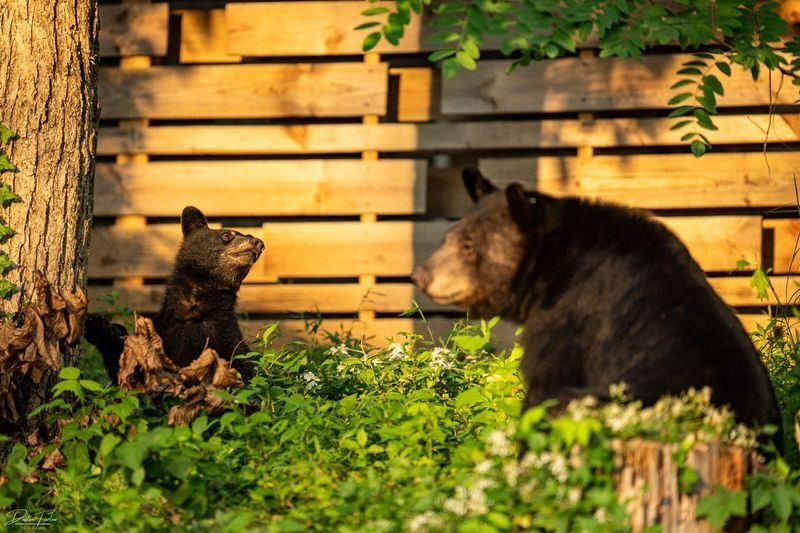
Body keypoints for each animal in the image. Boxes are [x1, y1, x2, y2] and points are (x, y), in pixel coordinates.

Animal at [84, 206, 264, 382]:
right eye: (226, 235)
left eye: (249, 235)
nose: (258, 243)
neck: (193, 308)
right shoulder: (161, 332)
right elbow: (127, 365)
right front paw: (99, 325)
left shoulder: (225, 337)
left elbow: (245, 366)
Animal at [412, 168, 781, 435]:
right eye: (447, 238)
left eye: (468, 246)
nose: (420, 275)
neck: (553, 266)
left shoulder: (574, 318)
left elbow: (546, 388)